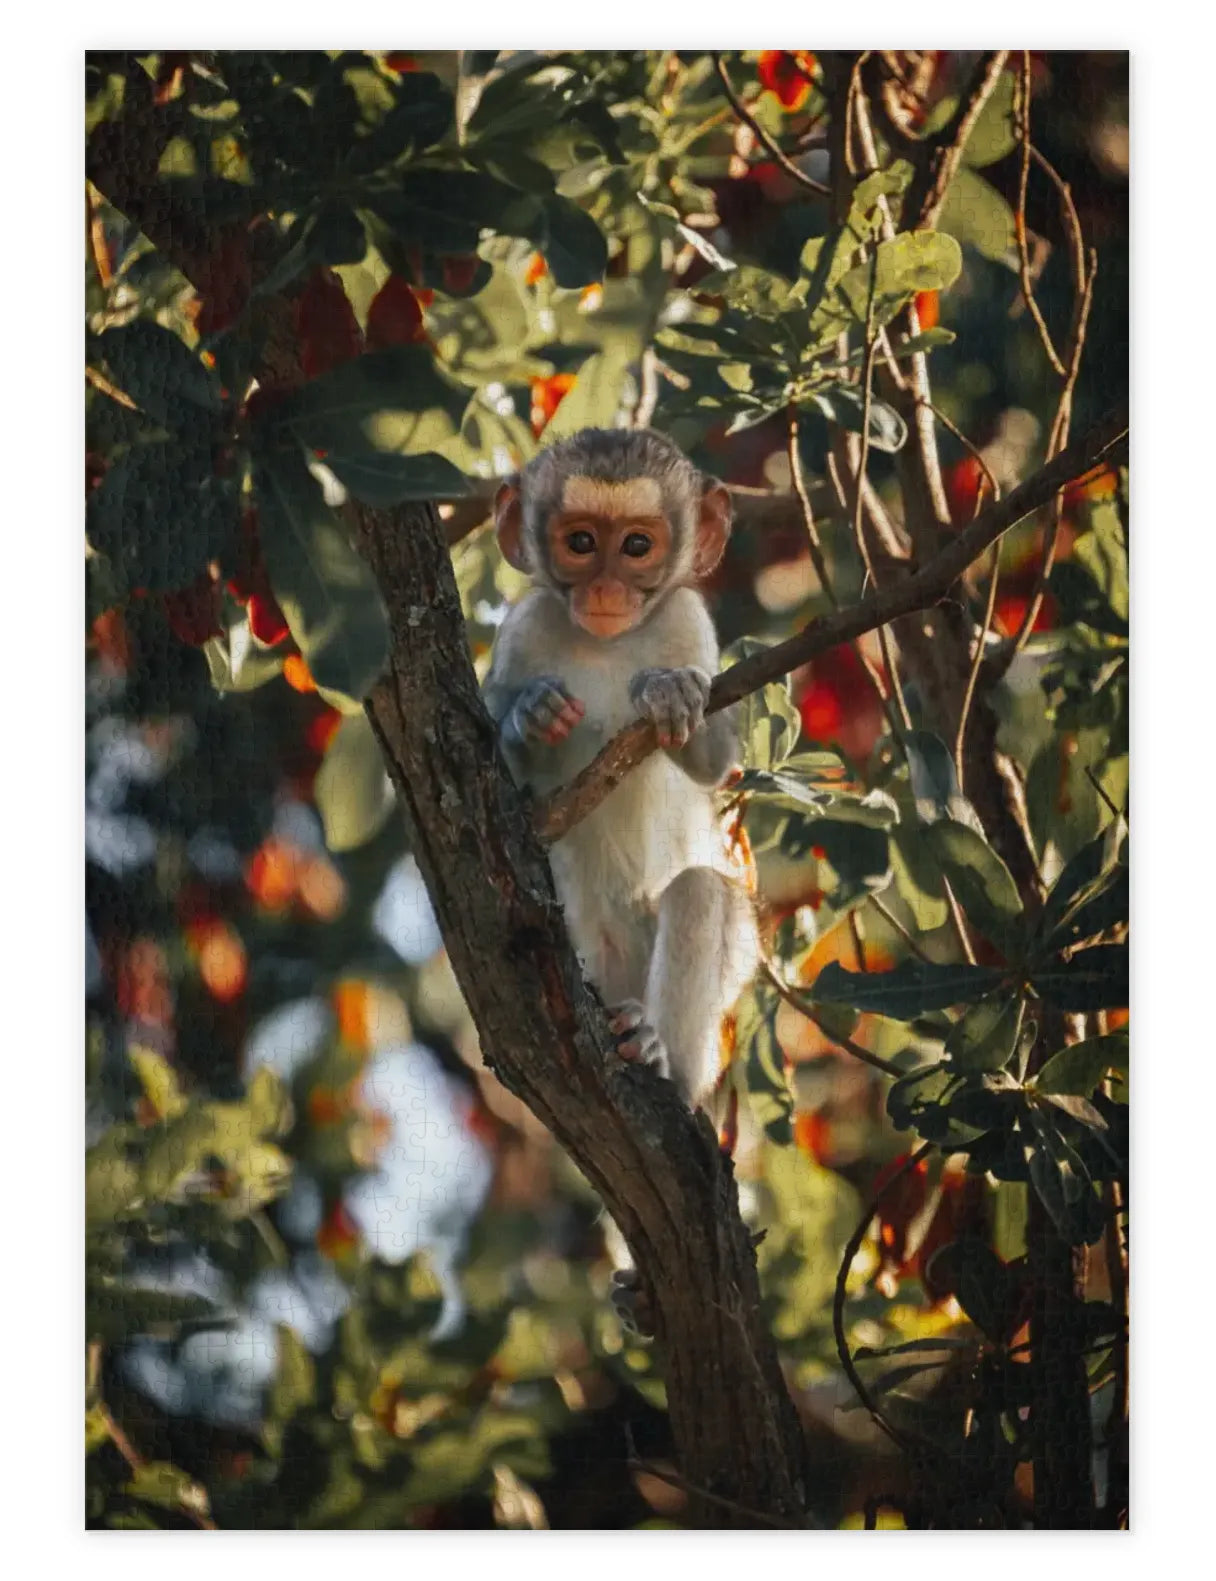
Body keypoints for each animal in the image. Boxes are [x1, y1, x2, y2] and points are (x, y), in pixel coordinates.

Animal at [482, 426, 760, 1117]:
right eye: (581, 542)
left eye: (636, 546)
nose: (605, 589)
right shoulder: (523, 629)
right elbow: (502, 774)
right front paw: (530, 716)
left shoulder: (688, 620)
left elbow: (715, 764)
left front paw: (669, 693)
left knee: (700, 892)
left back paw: (659, 1054)